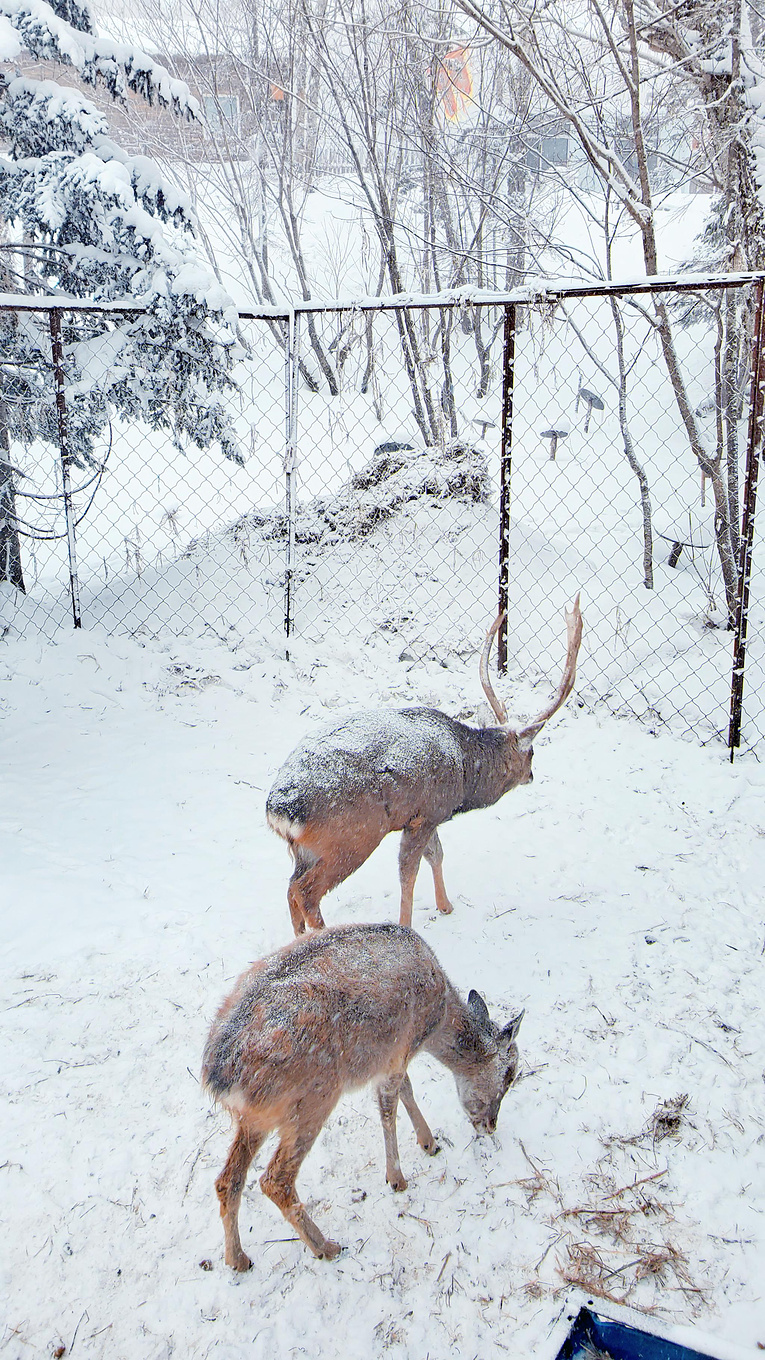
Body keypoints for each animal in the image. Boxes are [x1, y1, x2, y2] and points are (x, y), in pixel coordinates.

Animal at [201, 919, 522, 1267]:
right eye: (510, 1074)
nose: (490, 1125)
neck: (436, 1022)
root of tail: (218, 1075)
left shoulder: (391, 1056)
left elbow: (406, 1090)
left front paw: (429, 1143)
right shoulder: (398, 1050)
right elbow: (390, 1106)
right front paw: (397, 1177)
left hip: (255, 1117)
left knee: (227, 1179)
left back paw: (237, 1258)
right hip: (314, 1097)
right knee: (275, 1179)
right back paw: (325, 1246)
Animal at [265, 595, 579, 935]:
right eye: (531, 752)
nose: (532, 775)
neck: (466, 772)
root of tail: (280, 810)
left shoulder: (426, 816)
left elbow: (436, 855)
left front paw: (446, 905)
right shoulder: (425, 814)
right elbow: (409, 871)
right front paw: (408, 924)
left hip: (305, 849)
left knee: (290, 887)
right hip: (352, 836)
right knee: (306, 892)